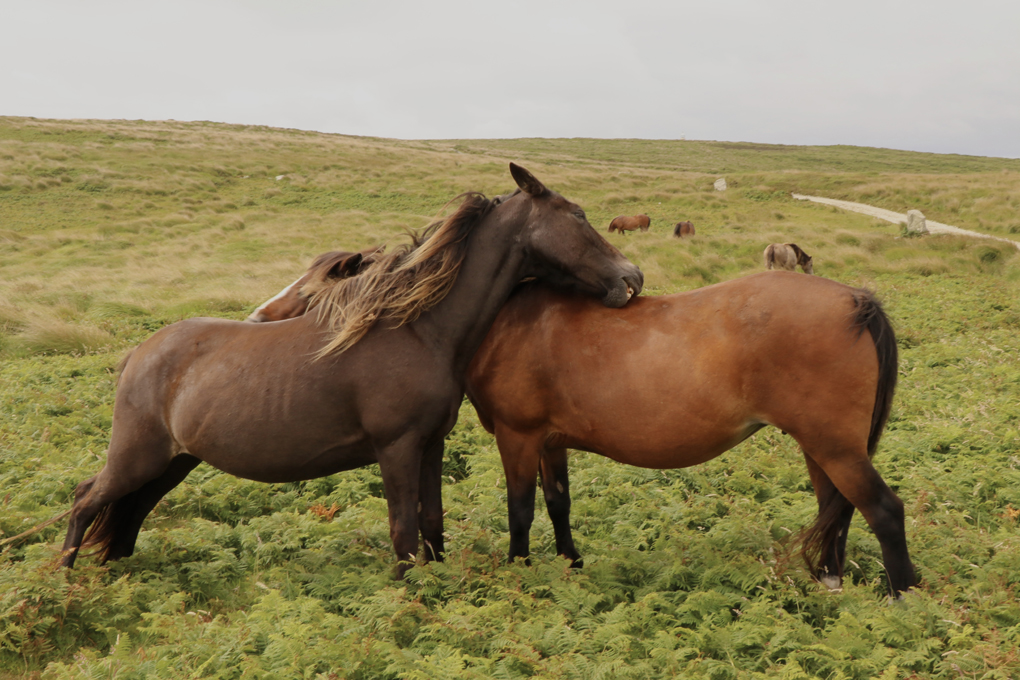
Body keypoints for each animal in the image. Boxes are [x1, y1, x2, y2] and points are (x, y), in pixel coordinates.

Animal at [469, 273, 918, 591]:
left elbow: (520, 511)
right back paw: (829, 581)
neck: (512, 319)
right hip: (822, 448)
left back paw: (903, 599)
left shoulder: (518, 437)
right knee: (836, 509)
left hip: (836, 449)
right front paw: (571, 565)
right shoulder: (549, 444)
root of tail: (855, 300)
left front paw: (518, 574)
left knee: (883, 511)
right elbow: (557, 503)